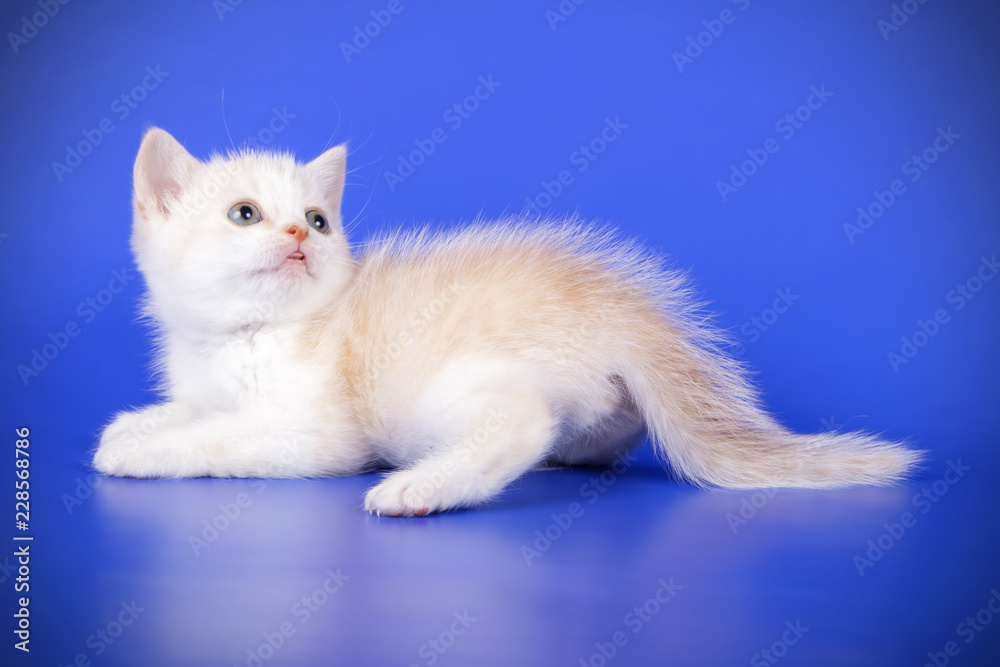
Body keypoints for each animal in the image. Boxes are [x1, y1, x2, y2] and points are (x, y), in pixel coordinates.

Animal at [94, 129, 920, 516]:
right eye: (245, 214)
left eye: (319, 219)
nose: (300, 235)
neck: (242, 334)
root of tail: (624, 307)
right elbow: (195, 409)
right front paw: (134, 424)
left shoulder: (313, 431)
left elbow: (218, 435)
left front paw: (142, 449)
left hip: (452, 385)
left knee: (519, 422)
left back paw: (422, 486)